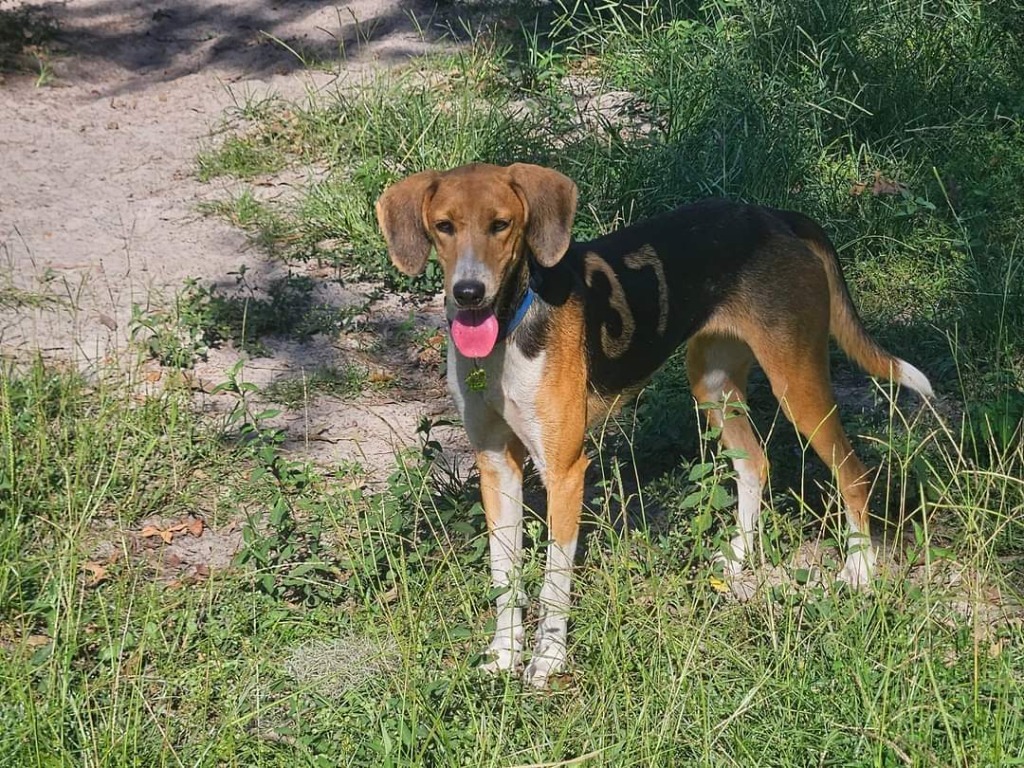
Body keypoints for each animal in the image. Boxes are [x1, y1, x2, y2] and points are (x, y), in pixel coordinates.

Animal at [374, 163, 929, 692]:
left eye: (501, 225)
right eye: (444, 226)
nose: (469, 293)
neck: (509, 326)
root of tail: (774, 216)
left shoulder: (564, 471)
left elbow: (554, 580)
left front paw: (547, 661)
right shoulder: (495, 466)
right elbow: (503, 574)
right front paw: (504, 657)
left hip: (798, 385)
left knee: (852, 472)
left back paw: (858, 570)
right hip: (711, 383)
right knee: (755, 462)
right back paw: (739, 557)